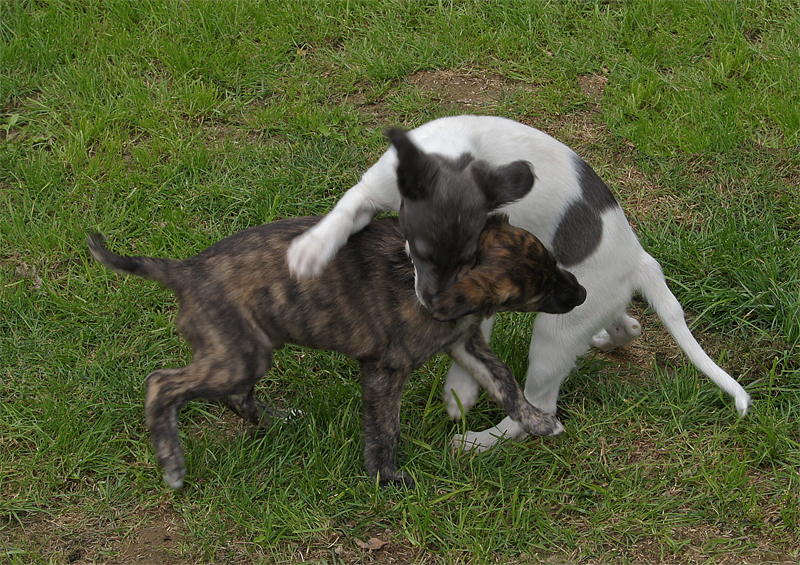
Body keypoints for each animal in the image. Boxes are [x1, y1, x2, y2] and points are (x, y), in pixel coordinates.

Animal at [89, 214, 588, 486]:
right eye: (533, 291)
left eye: (552, 262)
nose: (581, 294)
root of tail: (185, 270)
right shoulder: (385, 370)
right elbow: (384, 429)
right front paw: (386, 478)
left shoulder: (465, 343)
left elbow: (506, 385)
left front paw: (539, 422)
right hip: (238, 355)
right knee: (161, 384)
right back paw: (172, 462)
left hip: (247, 351)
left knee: (234, 396)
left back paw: (277, 420)